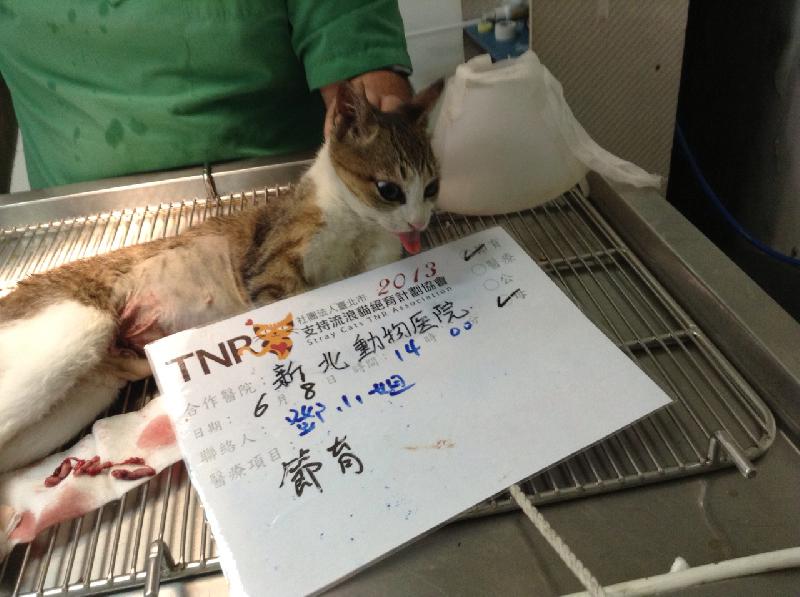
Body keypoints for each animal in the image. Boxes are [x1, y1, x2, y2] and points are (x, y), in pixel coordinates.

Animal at [0, 80, 443, 474]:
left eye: (433, 187)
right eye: (389, 189)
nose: (420, 223)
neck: (357, 228)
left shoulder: (378, 258)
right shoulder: (272, 268)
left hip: (84, 392)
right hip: (78, 330)